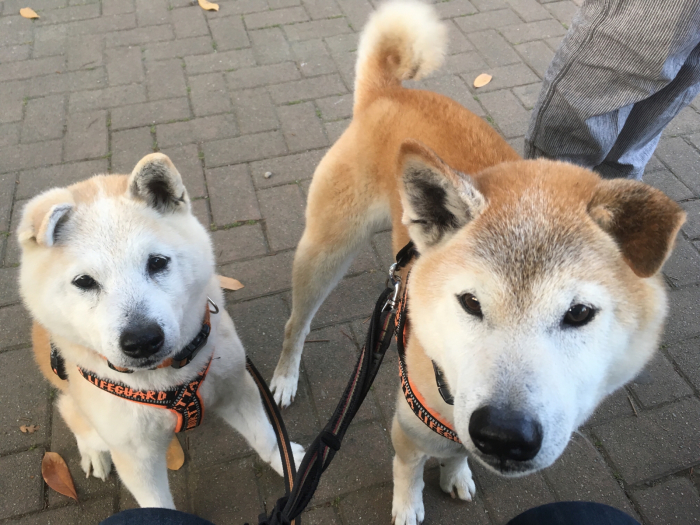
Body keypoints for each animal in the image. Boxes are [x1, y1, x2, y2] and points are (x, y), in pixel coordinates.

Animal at [19, 152, 302, 508]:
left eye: (157, 262)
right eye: (84, 281)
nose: (142, 341)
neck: (168, 379)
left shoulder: (239, 389)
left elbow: (267, 438)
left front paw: (290, 463)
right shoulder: (136, 458)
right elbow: (157, 506)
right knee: (72, 415)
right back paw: (94, 454)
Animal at [270, 2, 688, 520]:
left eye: (579, 313)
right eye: (470, 302)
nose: (505, 435)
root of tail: (389, 93)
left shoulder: (460, 422)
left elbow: (457, 451)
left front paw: (456, 473)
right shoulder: (411, 423)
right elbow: (409, 468)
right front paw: (408, 504)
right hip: (325, 250)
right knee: (296, 324)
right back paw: (284, 379)